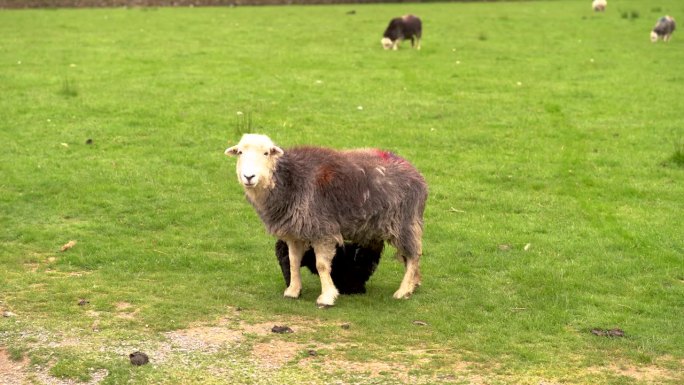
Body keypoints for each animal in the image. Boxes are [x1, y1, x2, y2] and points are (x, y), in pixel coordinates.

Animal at [224, 134, 428, 308]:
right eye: (240, 152)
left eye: (266, 153)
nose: (249, 177)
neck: (289, 180)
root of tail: (416, 173)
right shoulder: (295, 232)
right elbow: (293, 261)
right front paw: (293, 290)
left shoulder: (322, 229)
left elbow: (321, 265)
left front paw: (327, 297)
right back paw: (414, 284)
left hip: (404, 222)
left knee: (413, 255)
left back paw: (404, 290)